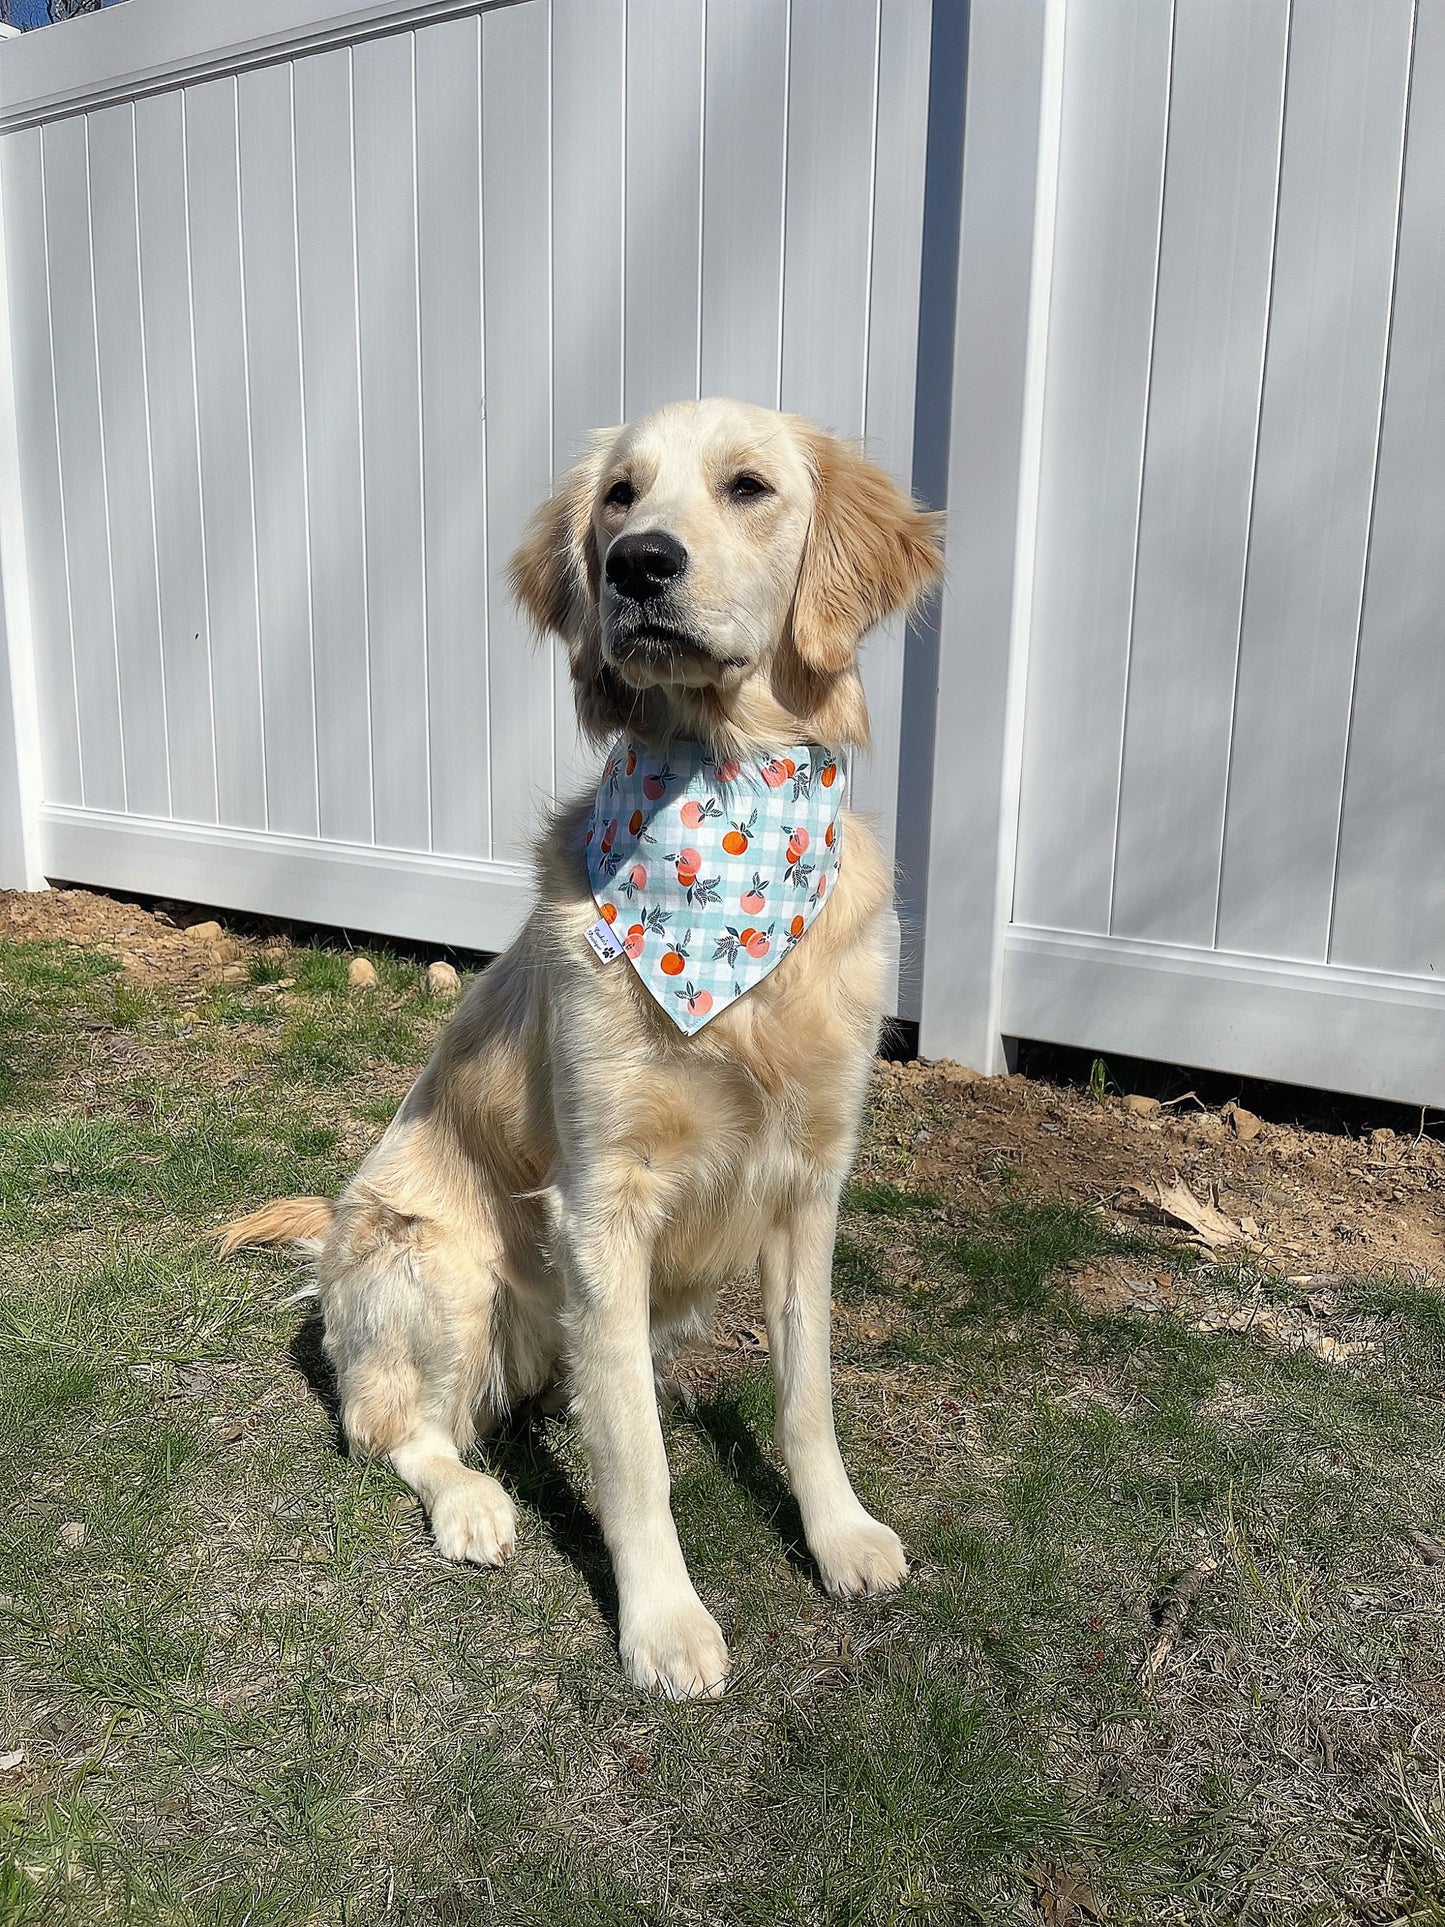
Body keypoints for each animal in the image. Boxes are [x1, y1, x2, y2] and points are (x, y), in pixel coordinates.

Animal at [225, 398, 944, 1695]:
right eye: (618, 496)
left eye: (747, 486)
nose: (638, 565)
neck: (722, 803)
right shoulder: (602, 1195)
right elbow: (637, 1461)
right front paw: (661, 1619)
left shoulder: (810, 1180)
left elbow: (804, 1391)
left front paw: (838, 1532)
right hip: (439, 1264)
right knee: (393, 1428)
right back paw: (469, 1501)